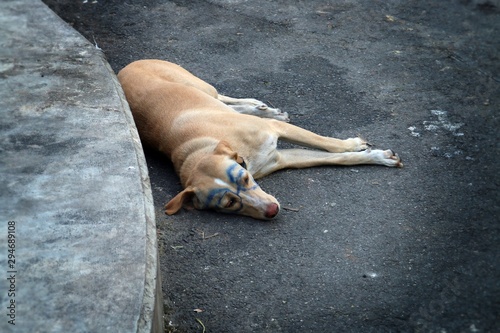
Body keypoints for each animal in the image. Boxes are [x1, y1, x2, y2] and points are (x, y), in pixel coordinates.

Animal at [118, 59, 402, 219]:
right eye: (230, 203)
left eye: (244, 178)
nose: (272, 211)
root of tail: (122, 69)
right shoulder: (283, 158)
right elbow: (337, 159)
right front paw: (374, 156)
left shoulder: (276, 130)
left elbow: (328, 144)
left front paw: (355, 145)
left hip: (198, 85)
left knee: (222, 96)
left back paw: (260, 107)